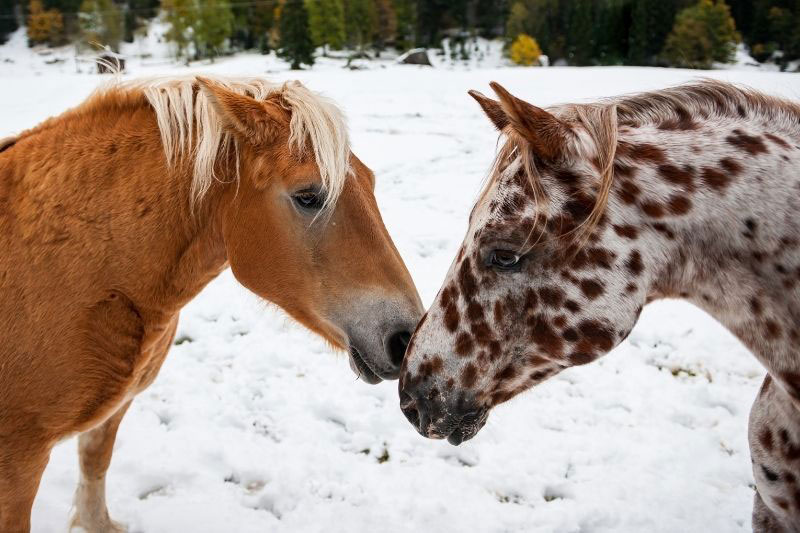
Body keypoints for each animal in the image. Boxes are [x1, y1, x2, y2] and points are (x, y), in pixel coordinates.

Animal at [0, 74, 423, 532]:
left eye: (371, 183)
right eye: (308, 196)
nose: (406, 339)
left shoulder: (111, 413)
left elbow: (95, 475)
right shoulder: (18, 461)